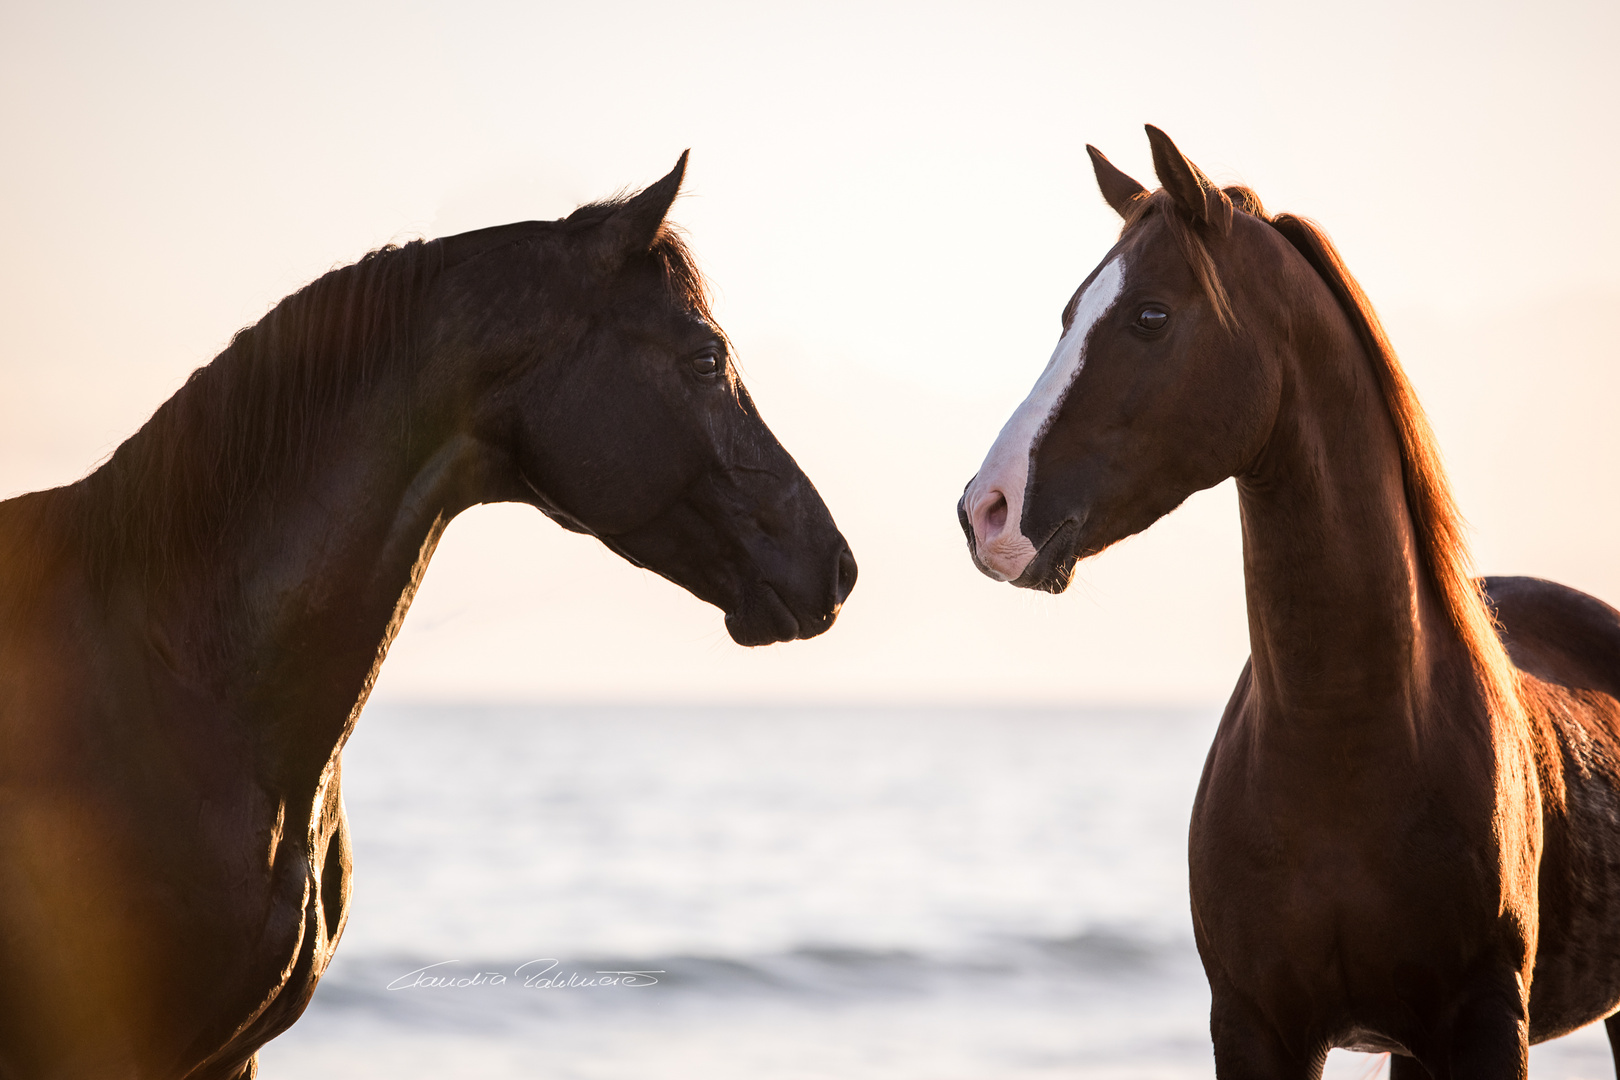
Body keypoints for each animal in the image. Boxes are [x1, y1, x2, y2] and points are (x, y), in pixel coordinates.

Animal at [952, 128, 1620, 1080]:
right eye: (1069, 314)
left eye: (1150, 316)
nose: (987, 510)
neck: (1341, 739)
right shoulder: (1254, 1024)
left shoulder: (1486, 1025)